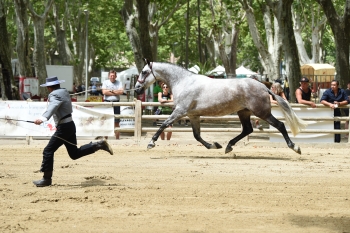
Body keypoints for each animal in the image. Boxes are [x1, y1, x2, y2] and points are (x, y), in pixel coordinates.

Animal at [134, 58, 306, 154]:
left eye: (144, 72)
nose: (136, 89)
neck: (184, 82)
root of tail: (264, 86)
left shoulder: (180, 111)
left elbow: (164, 124)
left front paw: (151, 143)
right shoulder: (192, 115)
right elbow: (197, 135)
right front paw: (214, 145)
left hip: (262, 113)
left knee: (280, 125)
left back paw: (295, 147)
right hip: (244, 112)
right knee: (247, 129)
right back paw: (228, 146)